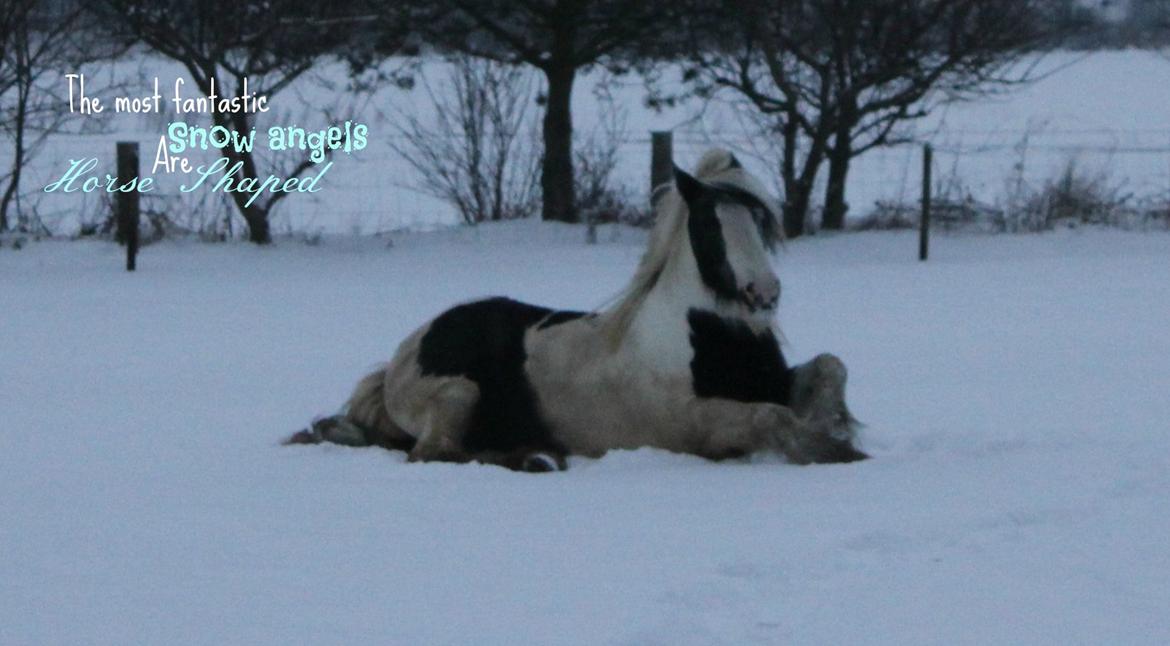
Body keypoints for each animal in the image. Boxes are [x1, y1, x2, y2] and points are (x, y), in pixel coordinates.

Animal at [287, 149, 866, 471]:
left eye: (760, 218)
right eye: (708, 223)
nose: (762, 294)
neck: (703, 338)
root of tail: (404, 353)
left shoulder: (778, 381)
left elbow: (830, 366)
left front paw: (839, 427)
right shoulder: (692, 426)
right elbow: (771, 416)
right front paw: (834, 450)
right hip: (457, 394)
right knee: (435, 453)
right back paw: (536, 458)